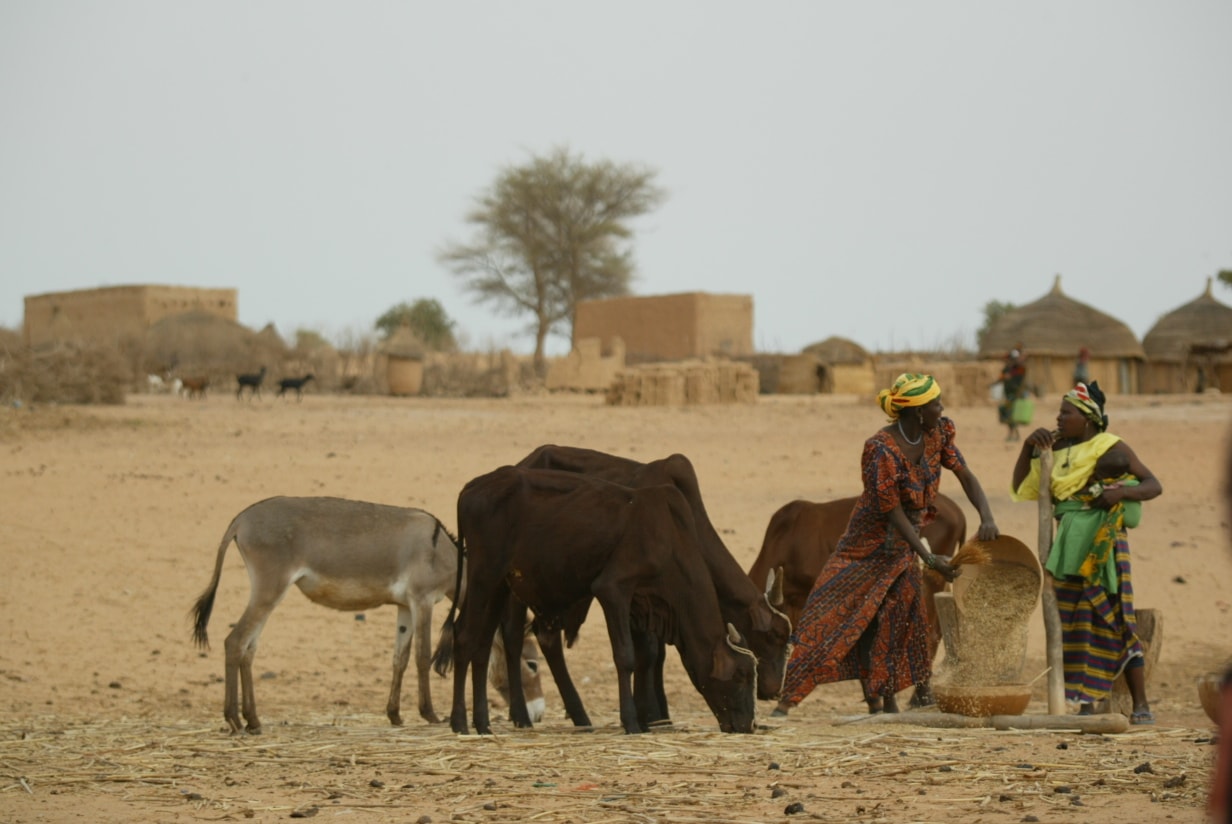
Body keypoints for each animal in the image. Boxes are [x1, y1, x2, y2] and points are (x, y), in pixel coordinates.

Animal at [188, 495, 544, 734]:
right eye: (532, 664)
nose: (539, 713)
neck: (443, 553)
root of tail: (240, 519)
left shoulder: (404, 606)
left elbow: (399, 658)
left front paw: (395, 714)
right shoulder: (423, 600)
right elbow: (422, 656)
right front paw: (430, 713)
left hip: (268, 591)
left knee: (248, 649)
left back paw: (253, 720)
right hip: (269, 587)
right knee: (235, 642)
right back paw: (234, 719)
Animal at [433, 465, 758, 734]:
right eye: (742, 675)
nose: (748, 725)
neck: (668, 538)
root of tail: (472, 487)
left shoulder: (640, 605)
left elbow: (646, 656)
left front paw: (644, 719)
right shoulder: (613, 589)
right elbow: (626, 656)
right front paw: (631, 722)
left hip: (499, 584)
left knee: (482, 644)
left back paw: (483, 723)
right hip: (483, 576)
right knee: (465, 638)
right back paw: (460, 722)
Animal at [517, 443, 788, 724]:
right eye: (773, 636)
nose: (774, 690)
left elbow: (656, 654)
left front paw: (658, 715)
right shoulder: (635, 598)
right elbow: (647, 653)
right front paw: (649, 713)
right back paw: (527, 715)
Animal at [744, 492, 965, 704]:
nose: (766, 693)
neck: (787, 542)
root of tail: (957, 512)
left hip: (930, 583)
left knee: (928, 635)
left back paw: (919, 698)